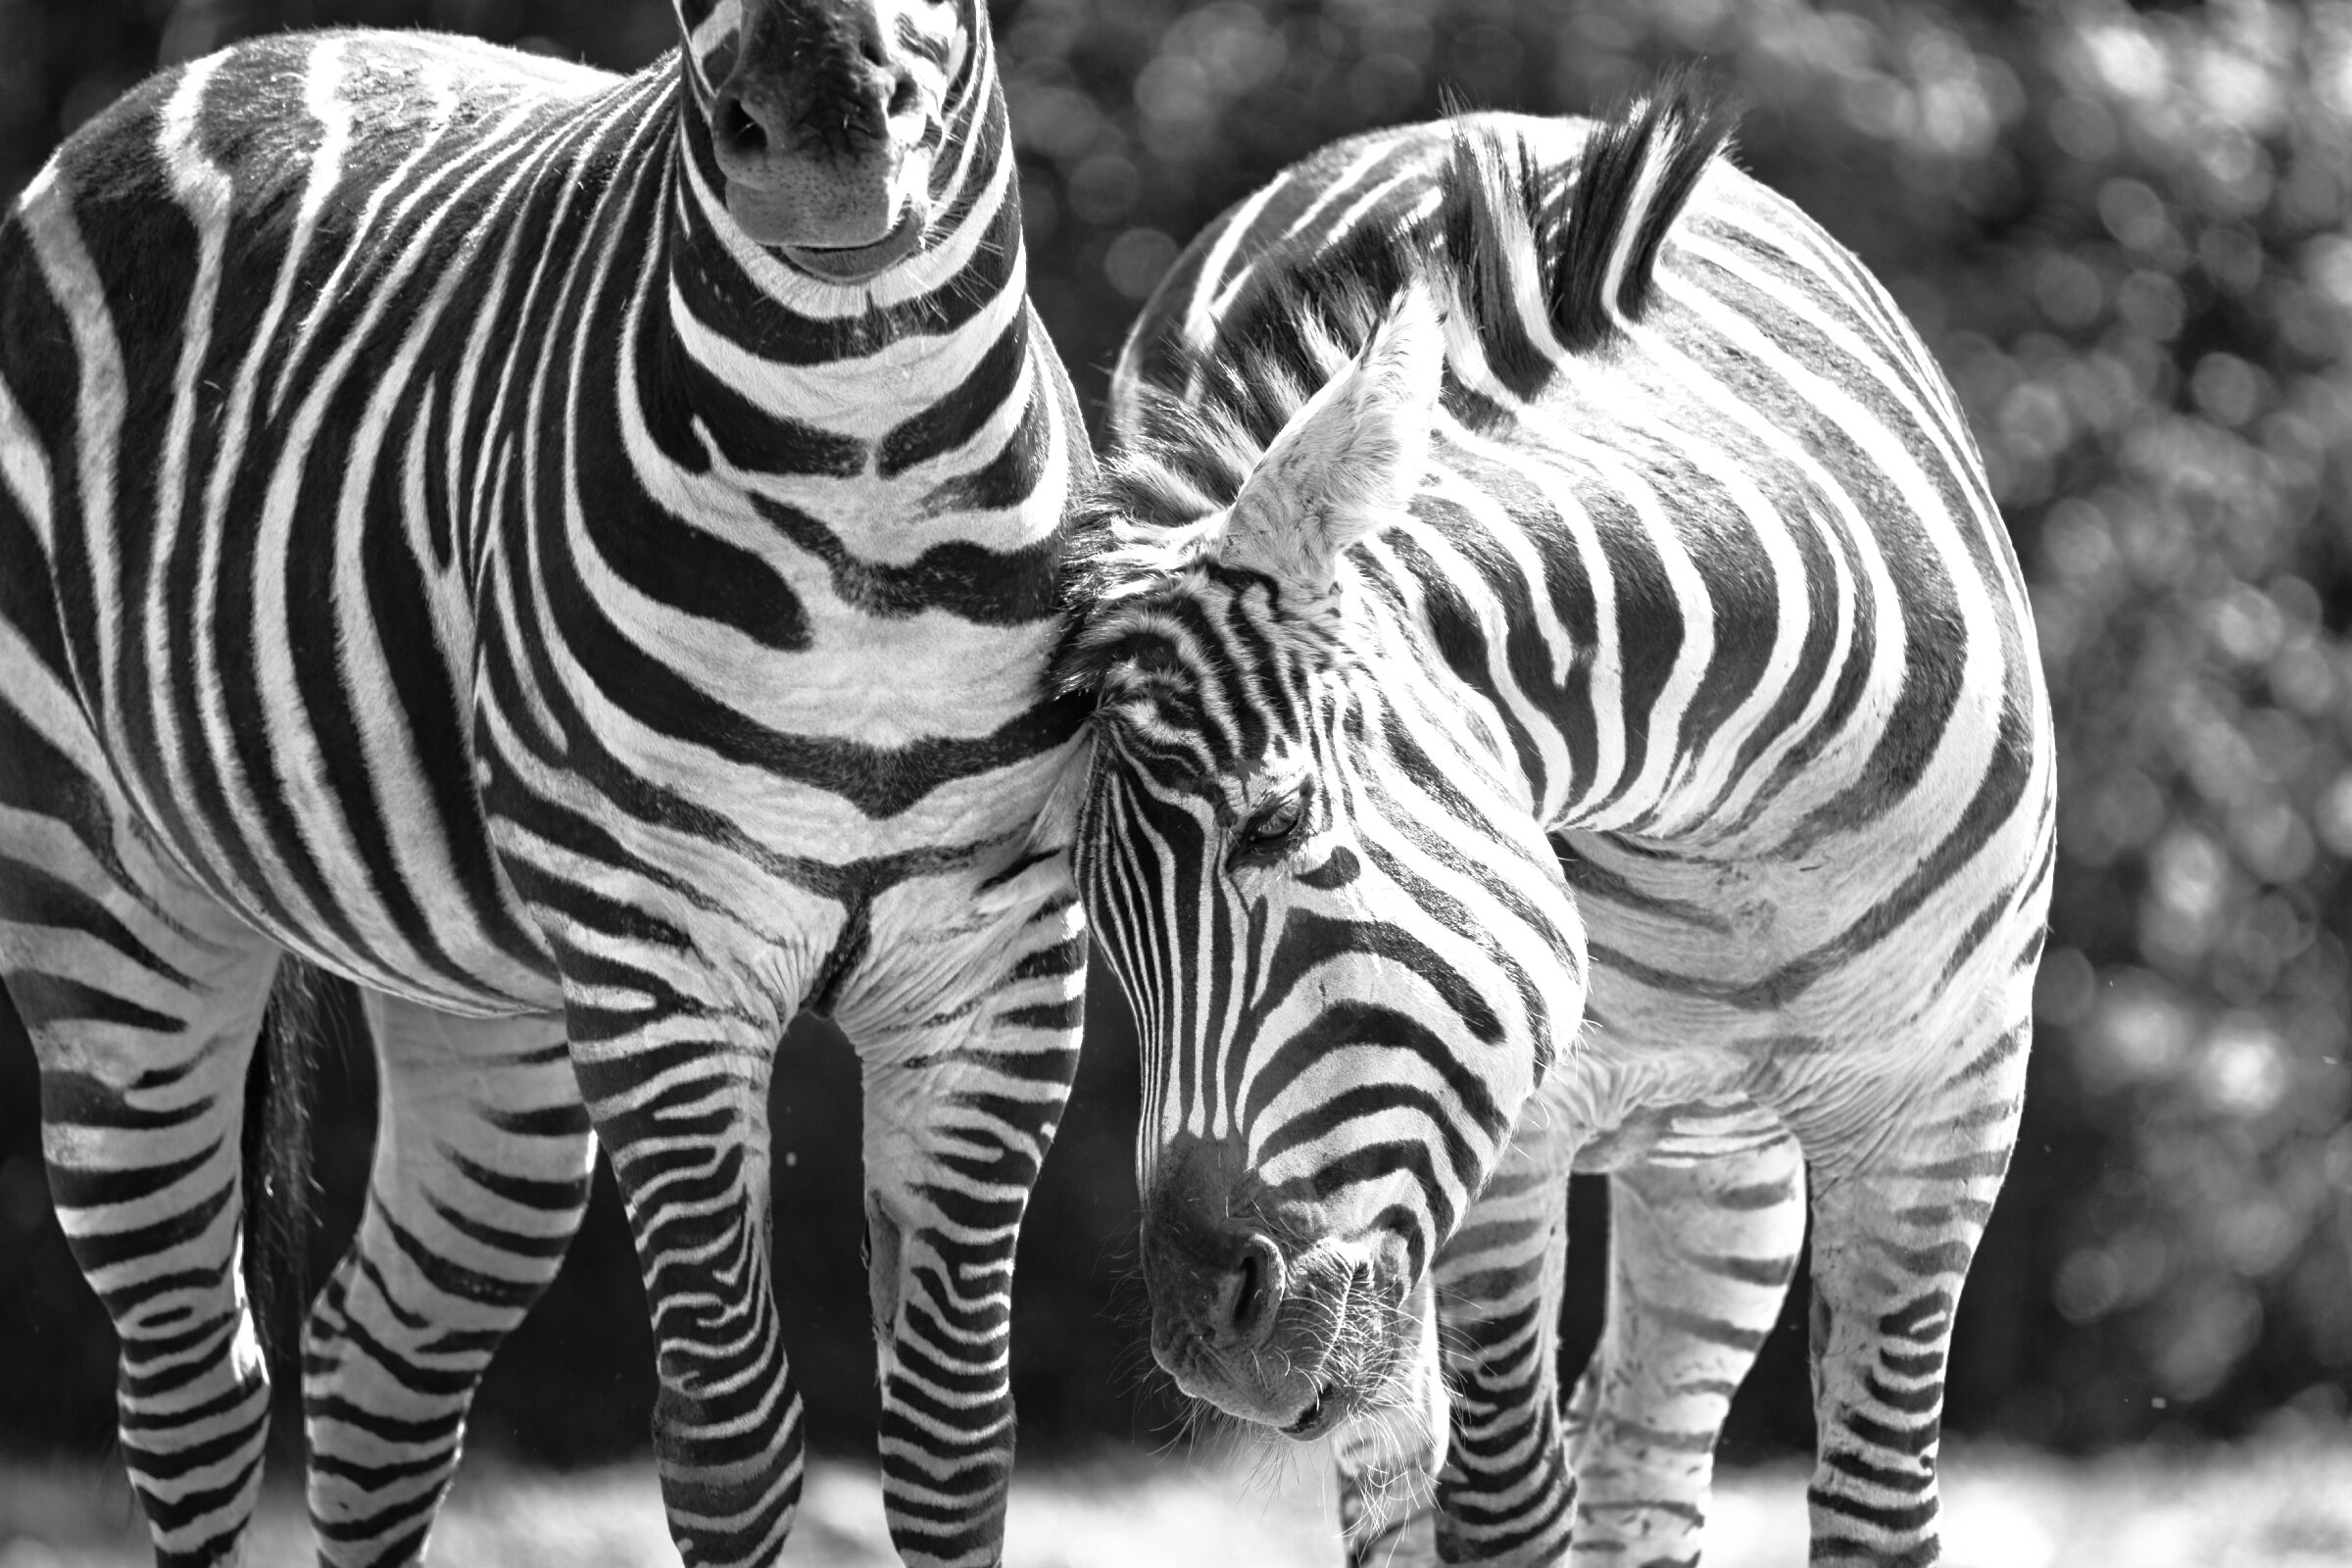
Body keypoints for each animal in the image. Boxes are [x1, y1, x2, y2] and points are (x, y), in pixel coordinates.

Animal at [0, 0, 1089, 1563]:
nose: (822, 147)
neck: (872, 462)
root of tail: (222, 60)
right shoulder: (656, 969)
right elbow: (731, 1443)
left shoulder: (999, 975)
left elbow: (954, 1452)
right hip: (97, 905)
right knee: (196, 1384)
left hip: (483, 1011)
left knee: (374, 1364)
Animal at [1055, 78, 2055, 1567]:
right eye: (1104, 925)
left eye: (1276, 827)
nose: (1203, 1345)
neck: (1733, 821)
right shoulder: (1506, 1127)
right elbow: (1504, 1507)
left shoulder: (1952, 1103)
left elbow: (1877, 1513)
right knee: (1413, 1484)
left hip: (1720, 1168)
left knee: (1644, 1454)